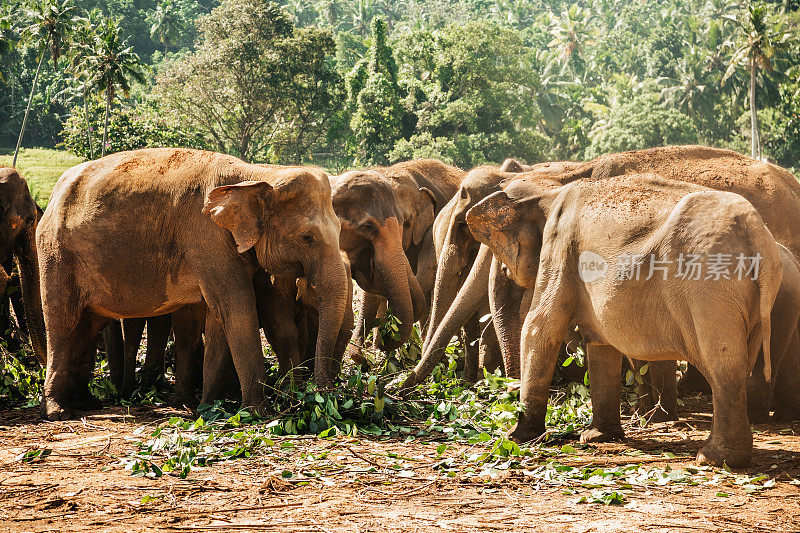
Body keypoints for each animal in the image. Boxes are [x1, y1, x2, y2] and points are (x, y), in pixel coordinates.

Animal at [37, 148, 348, 418]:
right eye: (307, 238)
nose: (323, 399)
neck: (257, 174)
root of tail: (52, 197)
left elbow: (229, 315)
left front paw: (210, 408)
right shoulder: (206, 237)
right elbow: (237, 309)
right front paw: (259, 413)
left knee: (87, 325)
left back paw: (85, 402)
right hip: (56, 252)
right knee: (62, 322)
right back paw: (59, 411)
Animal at [466, 172, 784, 464]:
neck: (550, 189)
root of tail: (758, 235)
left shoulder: (560, 245)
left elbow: (540, 326)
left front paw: (516, 437)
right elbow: (599, 342)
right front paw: (597, 437)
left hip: (709, 287)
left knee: (723, 363)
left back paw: (712, 459)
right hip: (749, 299)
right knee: (740, 363)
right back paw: (727, 456)